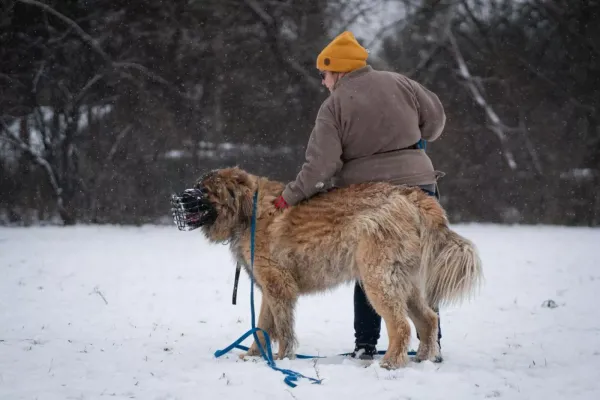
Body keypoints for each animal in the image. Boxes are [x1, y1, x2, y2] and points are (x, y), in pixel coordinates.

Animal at [196, 166, 482, 368]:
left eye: (205, 191)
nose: (184, 196)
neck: (249, 210)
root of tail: (413, 197)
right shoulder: (269, 289)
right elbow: (263, 326)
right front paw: (255, 356)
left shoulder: (279, 287)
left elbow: (283, 329)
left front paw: (282, 359)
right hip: (405, 284)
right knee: (429, 319)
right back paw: (423, 358)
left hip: (378, 280)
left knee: (401, 326)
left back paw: (390, 363)